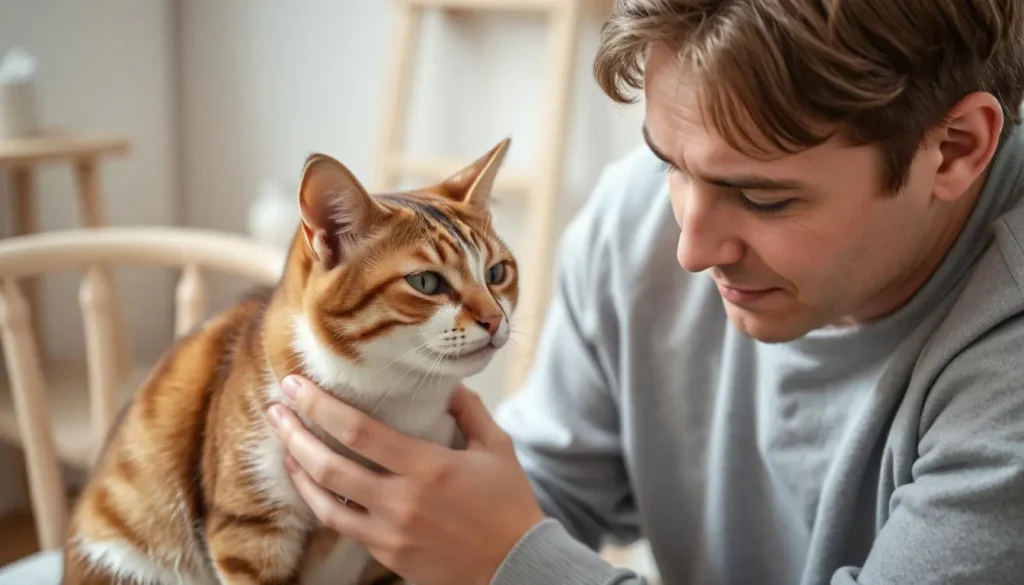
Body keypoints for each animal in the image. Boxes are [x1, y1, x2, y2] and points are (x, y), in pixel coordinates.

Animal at [59, 138, 520, 585]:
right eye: (425, 282)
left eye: (497, 273)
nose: (495, 319)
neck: (391, 402)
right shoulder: (250, 528)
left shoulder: (391, 562)